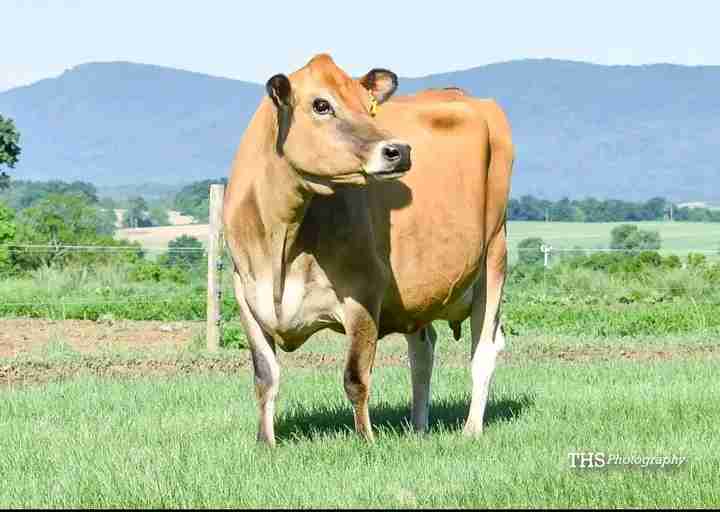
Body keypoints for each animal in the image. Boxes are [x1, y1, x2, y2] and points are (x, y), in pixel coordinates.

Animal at [223, 54, 513, 446]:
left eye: (368, 108)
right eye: (321, 105)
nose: (399, 151)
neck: (280, 241)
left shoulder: (364, 292)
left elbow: (355, 377)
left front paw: (366, 441)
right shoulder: (247, 296)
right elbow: (264, 377)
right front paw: (265, 443)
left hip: (494, 256)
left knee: (484, 350)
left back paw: (471, 429)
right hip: (420, 292)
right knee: (423, 351)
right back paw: (418, 429)